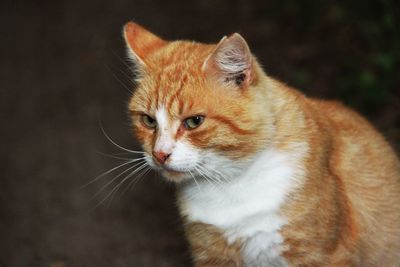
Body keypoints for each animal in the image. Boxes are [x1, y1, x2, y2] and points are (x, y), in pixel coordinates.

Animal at [122, 22, 400, 266]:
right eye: (148, 120)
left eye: (194, 122)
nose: (159, 154)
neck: (229, 185)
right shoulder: (212, 256)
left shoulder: (324, 255)